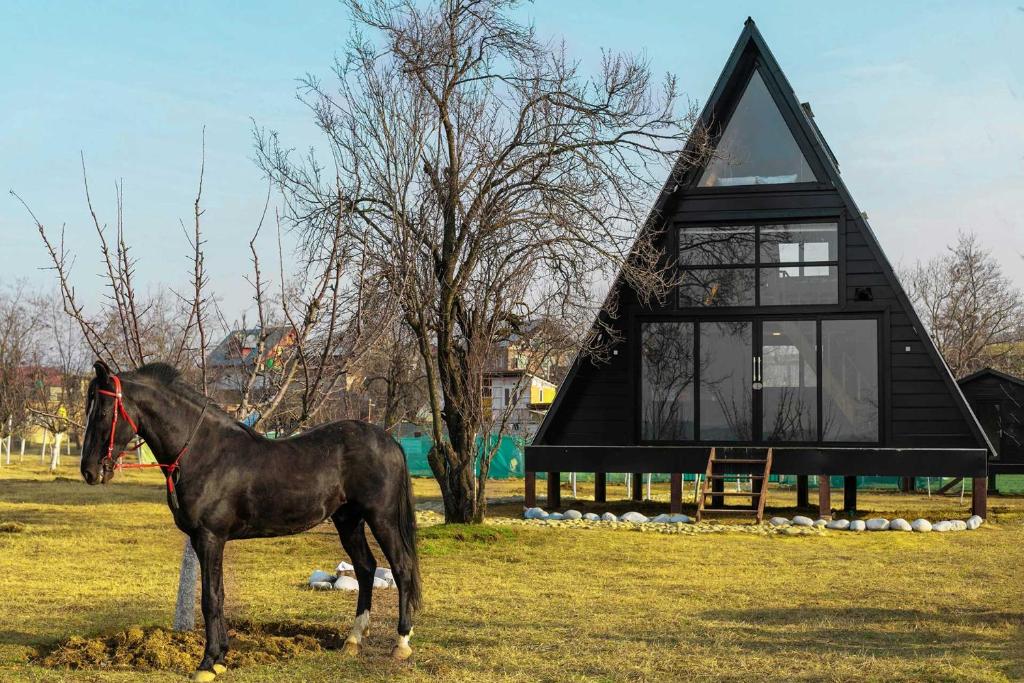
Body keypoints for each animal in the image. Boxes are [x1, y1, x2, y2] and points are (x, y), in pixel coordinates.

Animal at [79, 360, 421, 679]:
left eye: (104, 411)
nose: (90, 471)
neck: (204, 452)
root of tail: (387, 439)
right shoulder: (203, 540)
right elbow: (216, 595)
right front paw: (219, 658)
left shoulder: (210, 538)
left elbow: (211, 598)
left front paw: (208, 663)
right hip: (348, 520)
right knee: (366, 568)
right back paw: (353, 640)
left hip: (382, 518)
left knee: (401, 567)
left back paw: (401, 643)